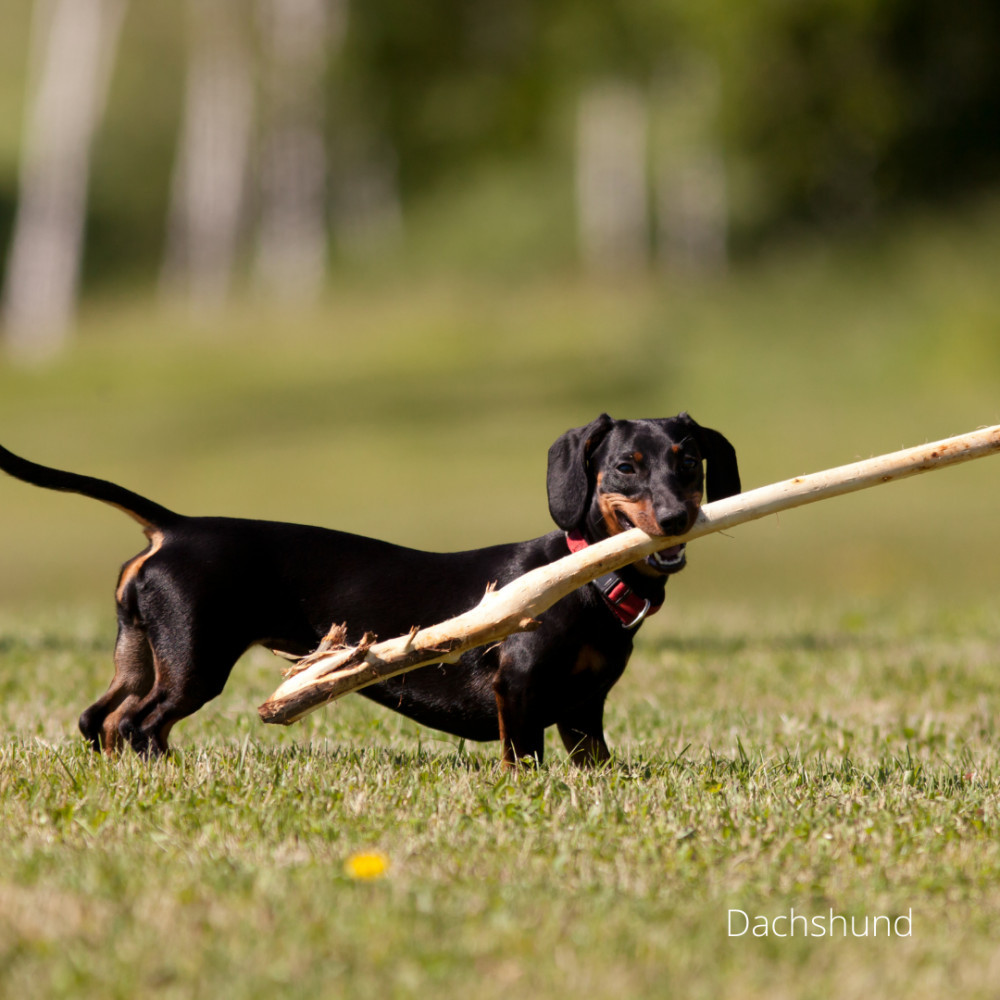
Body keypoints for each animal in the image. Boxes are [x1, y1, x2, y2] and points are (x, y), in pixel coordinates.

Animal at [0, 413, 739, 765]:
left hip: (140, 652)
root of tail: (175, 528)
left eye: (690, 463)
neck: (590, 579)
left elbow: (596, 762)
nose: (677, 518)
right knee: (139, 723)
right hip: (193, 663)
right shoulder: (520, 692)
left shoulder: (585, 712)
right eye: (626, 466)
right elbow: (521, 759)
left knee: (100, 718)